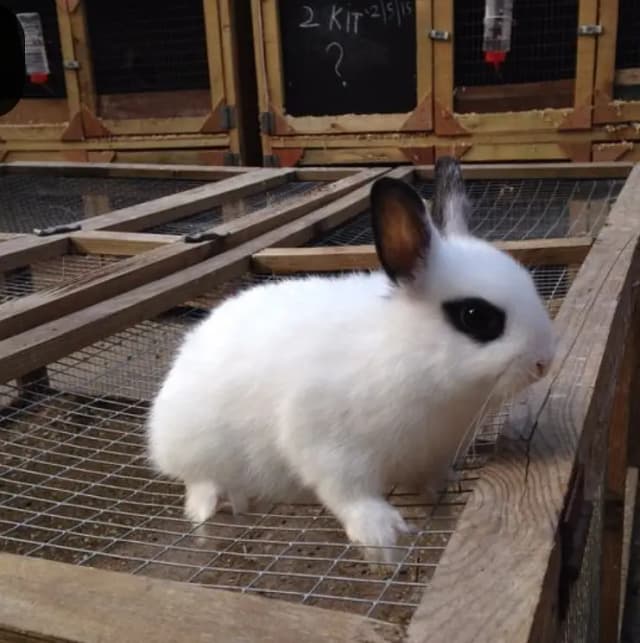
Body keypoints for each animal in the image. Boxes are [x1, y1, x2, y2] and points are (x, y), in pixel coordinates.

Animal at [146, 156, 556, 564]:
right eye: (475, 316)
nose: (545, 362)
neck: (408, 352)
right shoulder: (327, 444)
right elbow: (348, 493)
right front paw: (382, 537)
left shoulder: (431, 454)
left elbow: (431, 481)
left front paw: (446, 490)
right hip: (199, 448)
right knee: (199, 482)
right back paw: (216, 506)